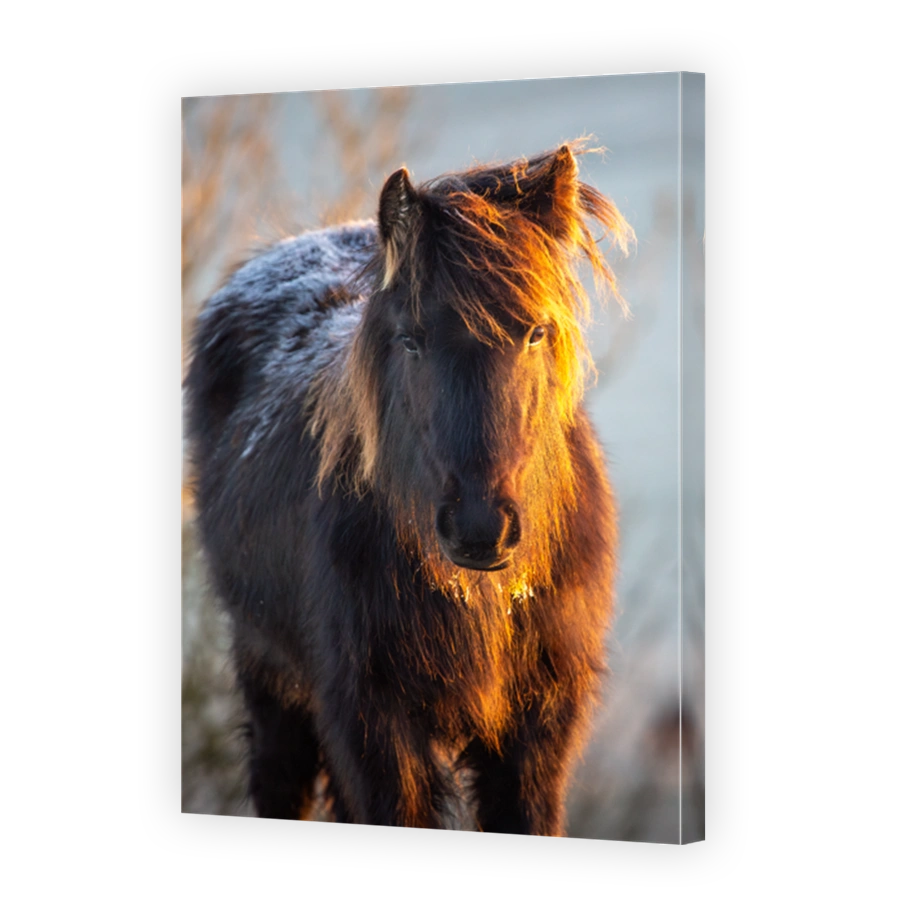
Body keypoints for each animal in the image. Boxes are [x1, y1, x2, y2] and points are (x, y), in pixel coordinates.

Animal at [185, 143, 631, 835]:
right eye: (411, 338)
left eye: (536, 331)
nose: (480, 526)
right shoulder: (374, 730)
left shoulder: (537, 735)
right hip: (269, 672)